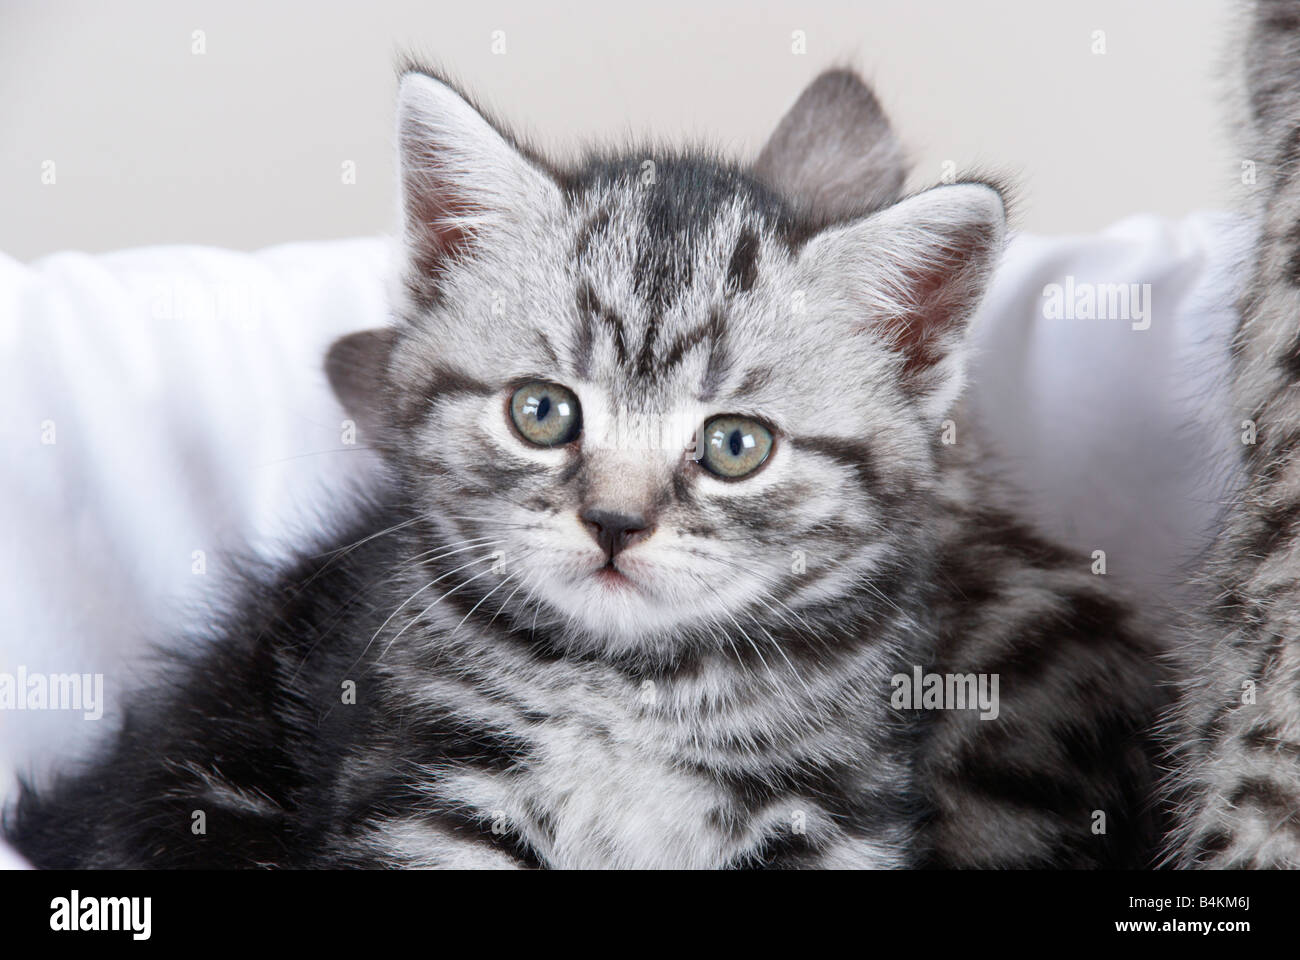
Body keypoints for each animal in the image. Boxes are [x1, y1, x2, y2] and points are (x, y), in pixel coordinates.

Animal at [5, 63, 1164, 863]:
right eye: (541, 412)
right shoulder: (429, 790)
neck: (637, 690)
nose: (614, 522)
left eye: (735, 445)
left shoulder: (828, 814)